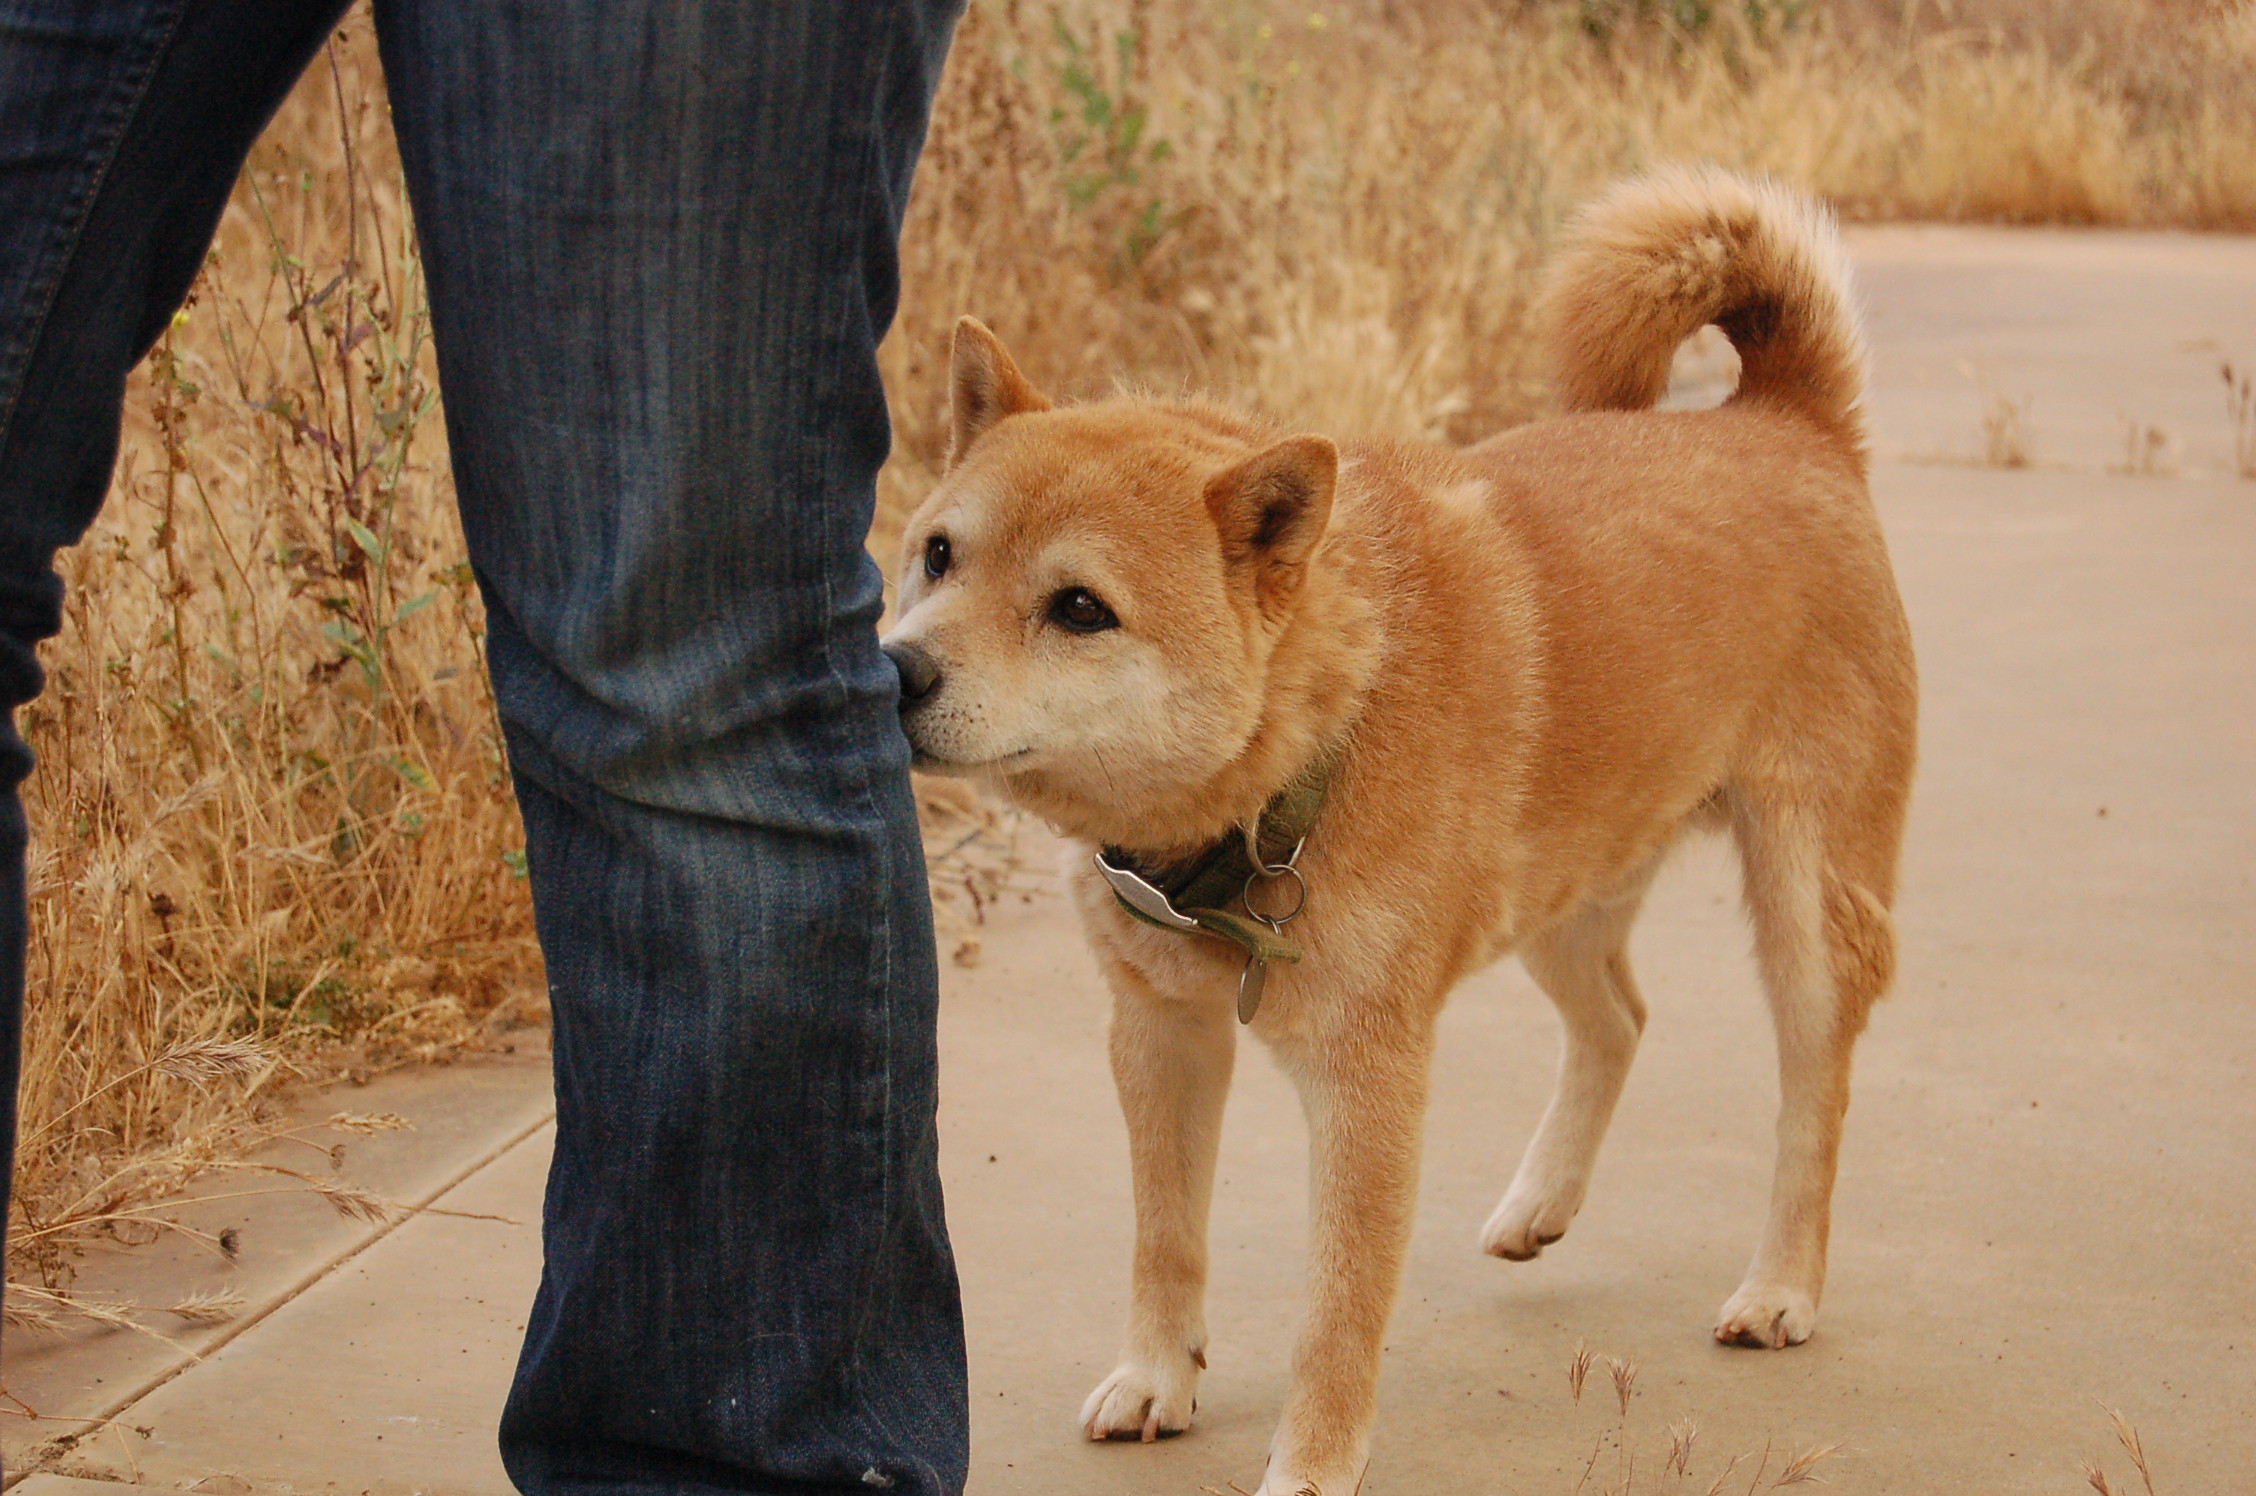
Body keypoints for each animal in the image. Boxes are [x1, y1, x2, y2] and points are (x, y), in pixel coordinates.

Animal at [879, 169, 1922, 1489]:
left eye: (1078, 608)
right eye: (937, 555)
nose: (894, 672)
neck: (1301, 764)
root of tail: (1787, 421)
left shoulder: (1367, 1078)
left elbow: (1338, 1308)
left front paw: (1311, 1465)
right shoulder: (1158, 1037)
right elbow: (1166, 1238)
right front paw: (1159, 1374)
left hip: (1804, 908)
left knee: (1810, 1099)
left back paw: (1780, 1282)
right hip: (1560, 895)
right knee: (1619, 1018)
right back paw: (1541, 1201)